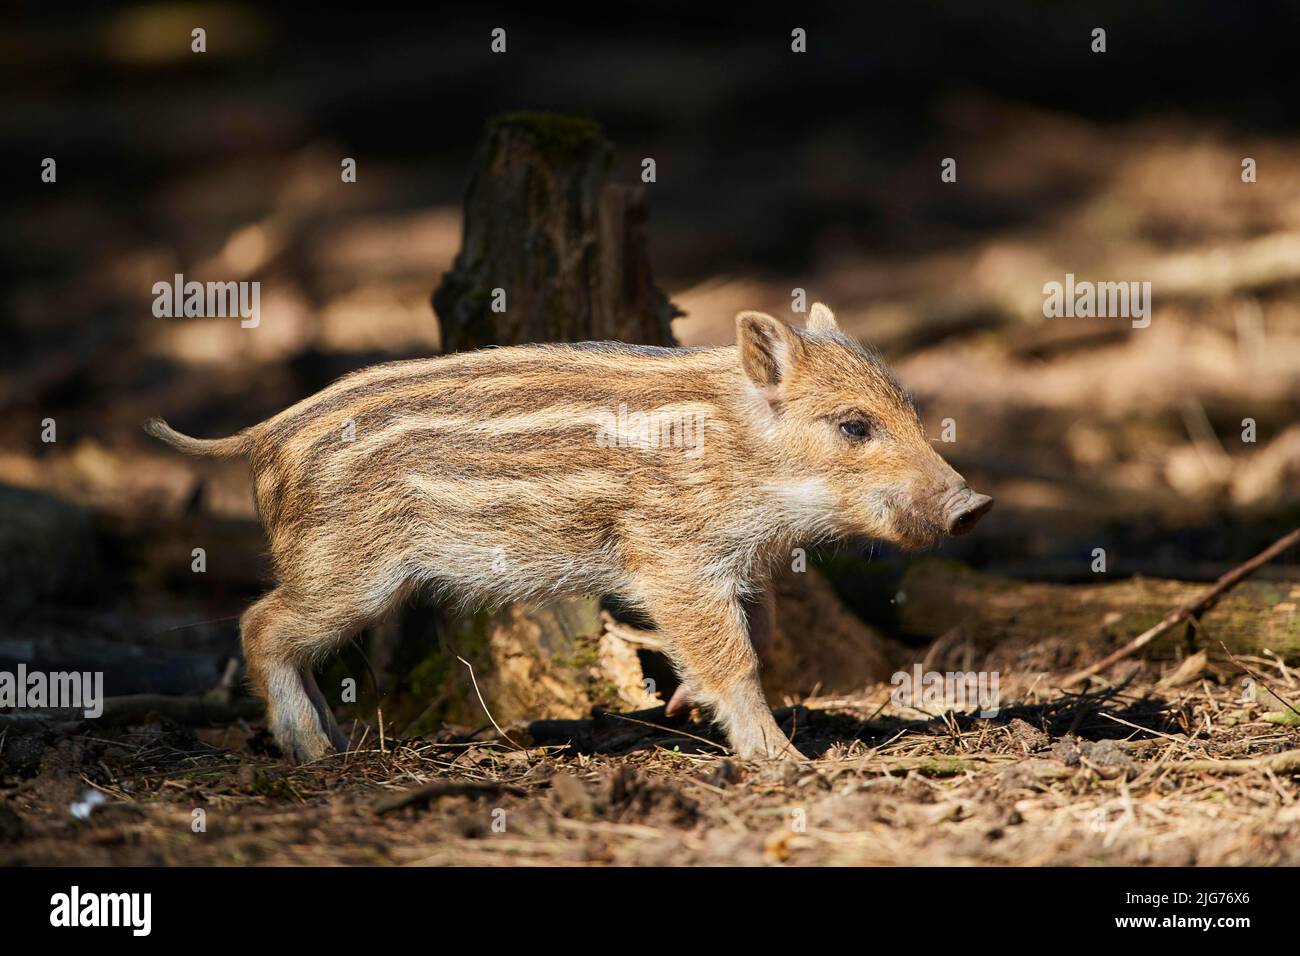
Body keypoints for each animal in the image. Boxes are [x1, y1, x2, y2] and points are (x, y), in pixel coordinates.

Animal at [145, 303, 991, 763]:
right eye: (853, 426)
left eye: (910, 409)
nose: (974, 505)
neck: (741, 450)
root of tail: (262, 436)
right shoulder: (671, 556)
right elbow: (736, 659)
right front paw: (782, 762)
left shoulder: (739, 565)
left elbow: (761, 634)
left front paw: (683, 708)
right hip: (348, 568)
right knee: (261, 625)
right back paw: (314, 750)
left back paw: (339, 743)